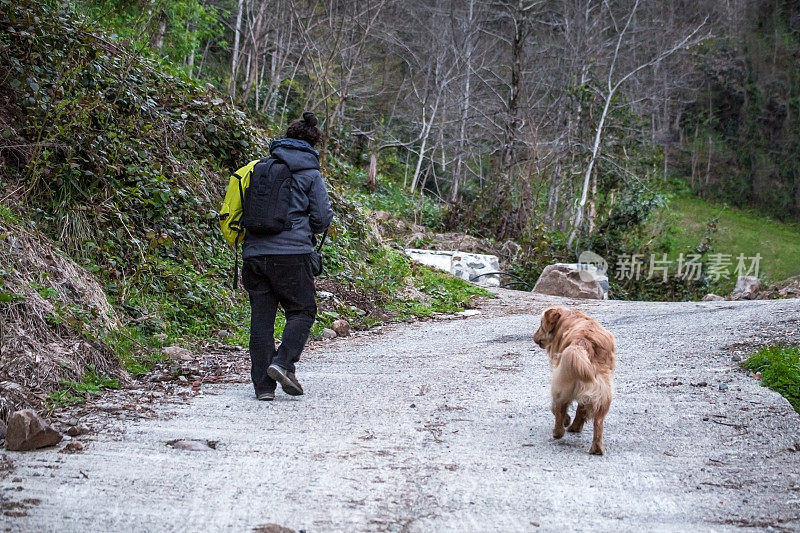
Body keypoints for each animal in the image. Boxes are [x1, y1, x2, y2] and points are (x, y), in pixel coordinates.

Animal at [536, 306, 616, 450]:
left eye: (541, 323)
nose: (533, 336)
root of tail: (583, 342)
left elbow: (557, 409)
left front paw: (566, 421)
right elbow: (581, 409)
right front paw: (575, 426)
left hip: (560, 383)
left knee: (559, 407)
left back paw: (558, 432)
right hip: (603, 393)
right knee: (598, 421)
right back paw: (596, 447)